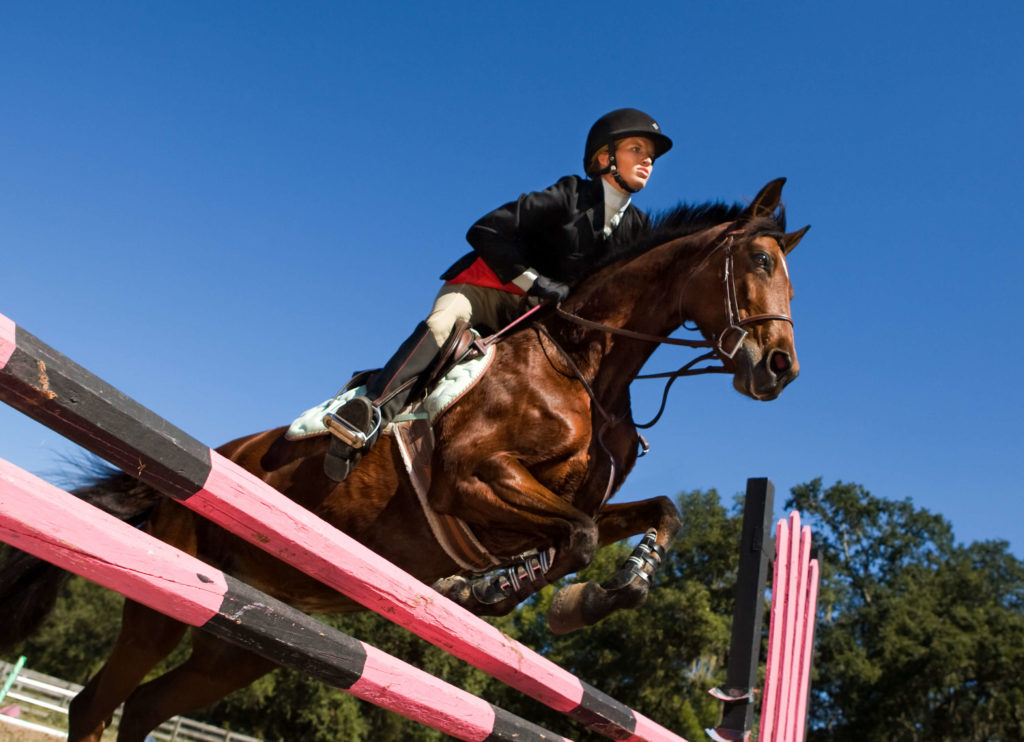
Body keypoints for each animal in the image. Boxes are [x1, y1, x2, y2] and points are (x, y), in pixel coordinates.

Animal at [0, 177, 806, 736]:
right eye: (759, 260)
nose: (780, 370)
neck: (586, 366)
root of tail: (206, 459)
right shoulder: (477, 479)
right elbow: (572, 539)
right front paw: (503, 591)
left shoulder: (582, 498)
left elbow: (651, 515)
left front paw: (595, 593)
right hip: (167, 589)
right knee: (96, 705)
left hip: (248, 631)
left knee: (145, 707)